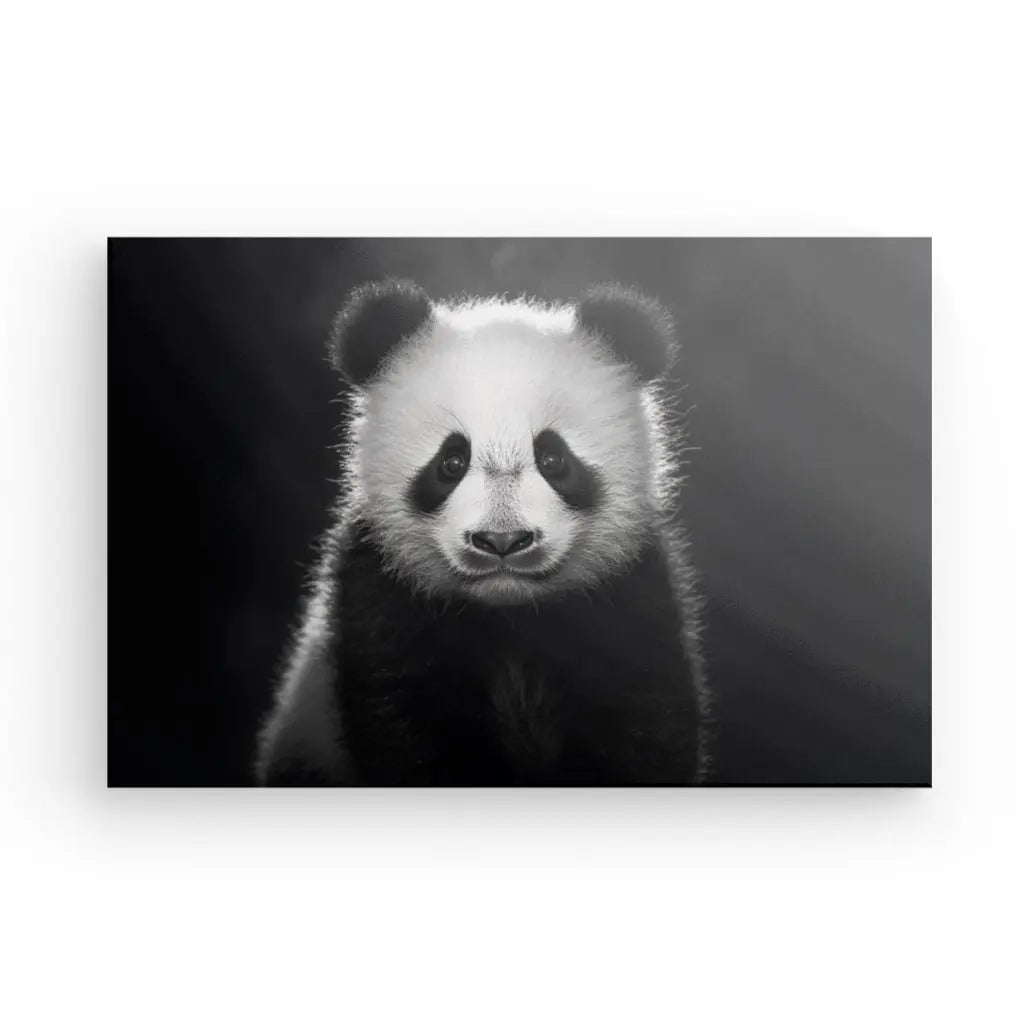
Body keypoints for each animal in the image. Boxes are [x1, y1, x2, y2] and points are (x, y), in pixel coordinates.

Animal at [256, 278, 709, 785]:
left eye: (554, 459)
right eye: (451, 462)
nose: (502, 541)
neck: (509, 613)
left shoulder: (630, 594)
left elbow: (646, 725)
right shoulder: (380, 599)